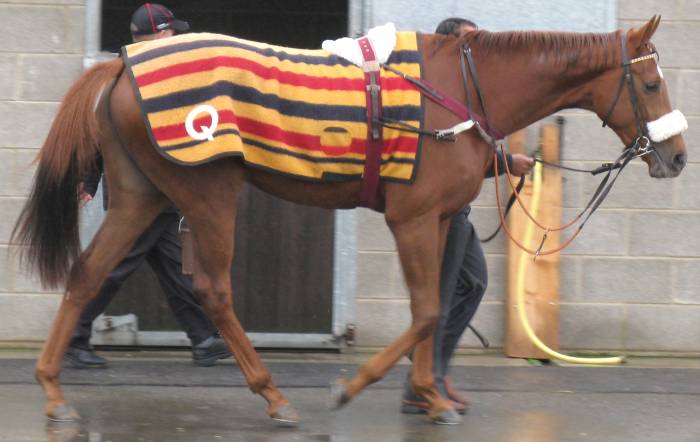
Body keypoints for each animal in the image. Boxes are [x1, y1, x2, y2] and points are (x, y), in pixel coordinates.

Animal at [12, 15, 687, 425]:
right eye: (653, 83)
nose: (678, 157)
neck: (462, 91)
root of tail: (122, 65)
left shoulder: (440, 220)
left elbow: (434, 306)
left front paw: (430, 396)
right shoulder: (411, 219)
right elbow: (427, 312)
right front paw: (357, 386)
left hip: (140, 195)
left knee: (87, 275)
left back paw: (52, 389)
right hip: (207, 193)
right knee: (213, 289)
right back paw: (273, 394)